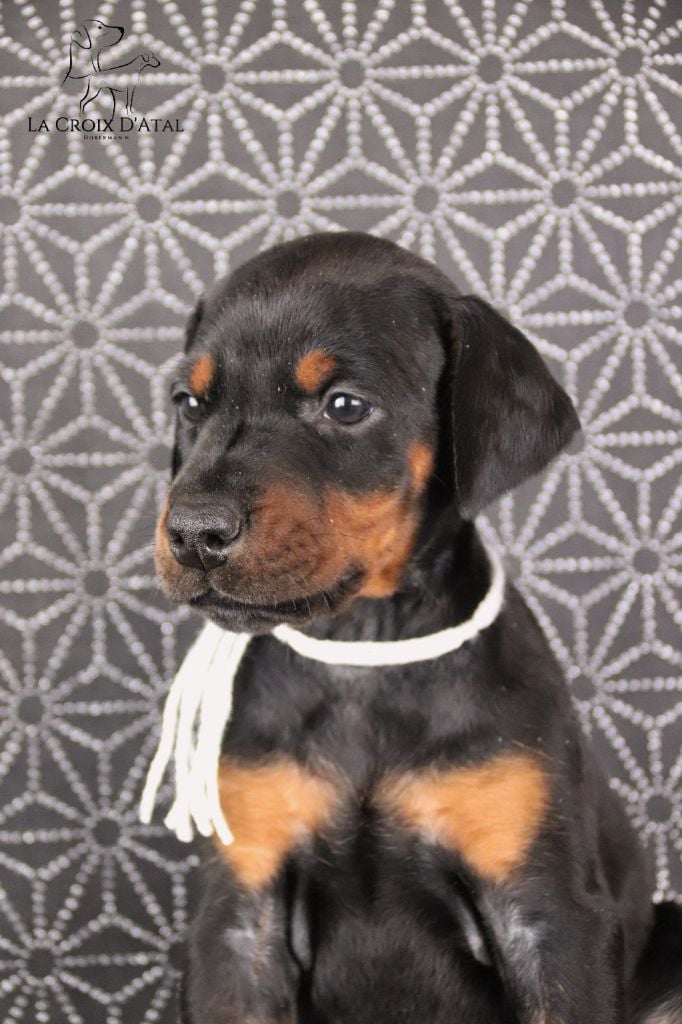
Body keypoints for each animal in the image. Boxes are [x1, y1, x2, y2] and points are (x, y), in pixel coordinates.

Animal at [154, 232, 681, 1023]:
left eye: (345, 405)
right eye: (190, 402)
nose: (192, 532)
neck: (363, 648)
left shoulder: (549, 914)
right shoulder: (238, 920)